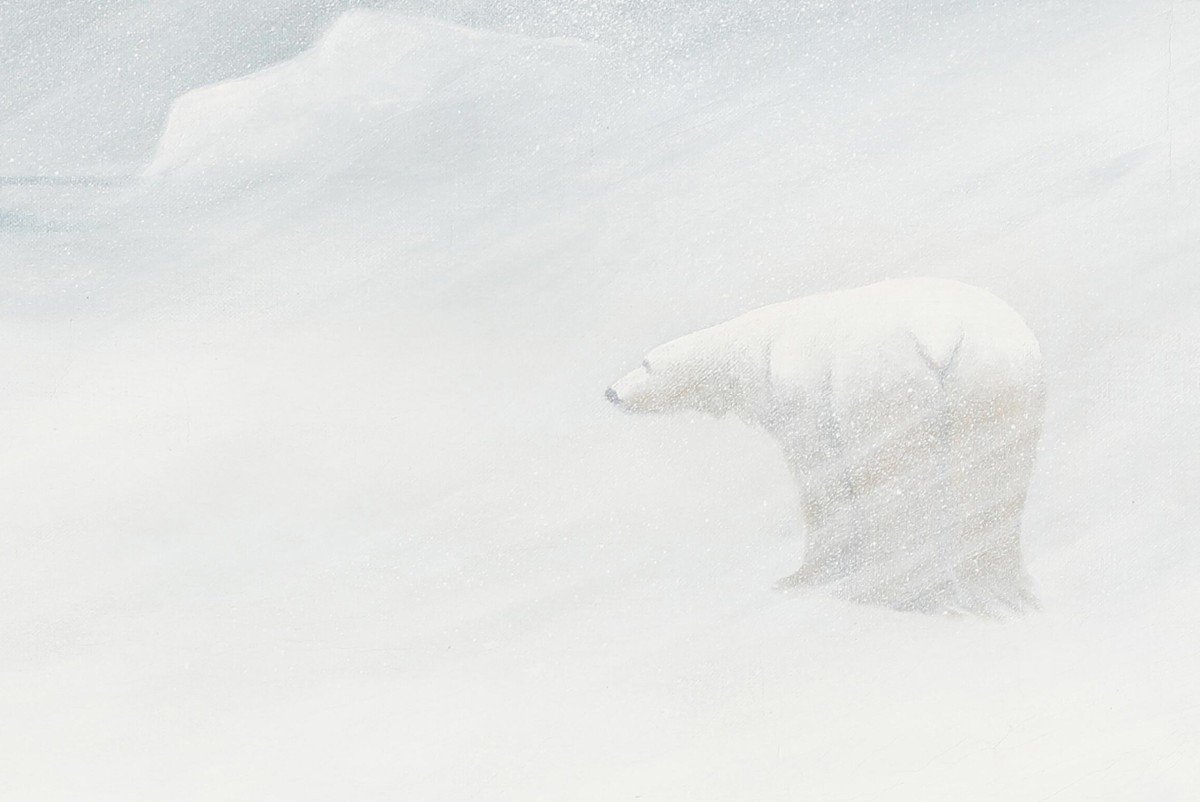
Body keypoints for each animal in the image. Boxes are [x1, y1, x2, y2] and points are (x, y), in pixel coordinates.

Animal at [604, 278, 1046, 619]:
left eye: (645, 363)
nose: (610, 391)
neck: (761, 347)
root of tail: (945, 338)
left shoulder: (803, 396)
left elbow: (821, 477)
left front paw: (806, 576)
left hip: (881, 383)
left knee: (893, 483)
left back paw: (885, 592)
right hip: (998, 382)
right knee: (995, 479)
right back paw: (1005, 590)